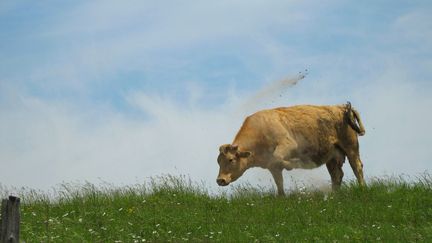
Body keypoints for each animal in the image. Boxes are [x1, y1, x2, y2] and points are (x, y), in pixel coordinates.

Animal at [216, 102, 364, 196]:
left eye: (231, 159)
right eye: (218, 161)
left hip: (351, 147)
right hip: (332, 157)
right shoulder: (272, 168)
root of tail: (341, 107)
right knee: (336, 175)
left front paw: (293, 163)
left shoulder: (289, 144)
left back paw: (362, 188)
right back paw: (334, 195)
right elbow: (279, 182)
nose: (220, 180)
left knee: (357, 167)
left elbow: (278, 158)